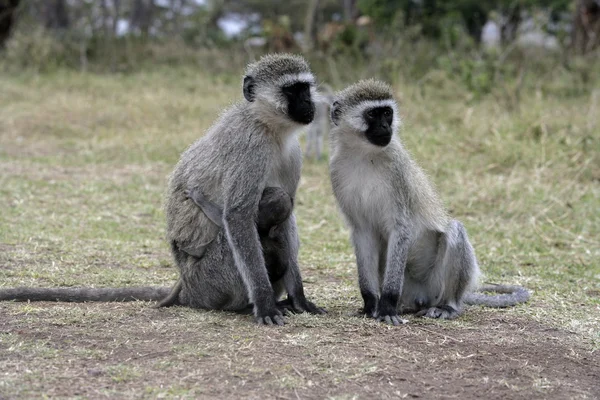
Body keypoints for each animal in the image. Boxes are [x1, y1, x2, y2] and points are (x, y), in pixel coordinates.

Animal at [328, 79, 528, 324]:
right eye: (373, 114)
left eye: (387, 113)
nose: (386, 128)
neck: (364, 155)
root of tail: (421, 297)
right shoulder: (337, 171)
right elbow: (363, 231)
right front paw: (370, 304)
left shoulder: (398, 174)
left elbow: (401, 228)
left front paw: (386, 306)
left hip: (434, 285)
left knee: (454, 230)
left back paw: (447, 305)